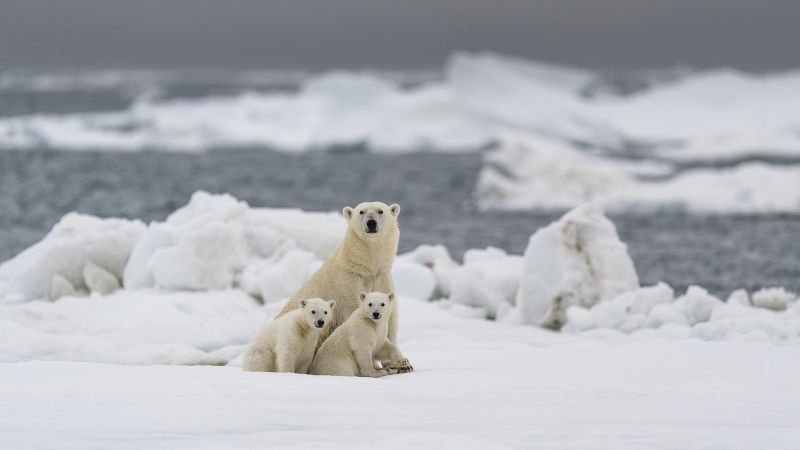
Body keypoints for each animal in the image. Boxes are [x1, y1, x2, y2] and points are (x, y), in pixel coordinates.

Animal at [276, 202, 412, 370]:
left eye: (380, 211)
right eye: (362, 212)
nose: (371, 223)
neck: (365, 269)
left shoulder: (382, 278)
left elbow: (390, 318)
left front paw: (403, 364)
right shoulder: (348, 284)